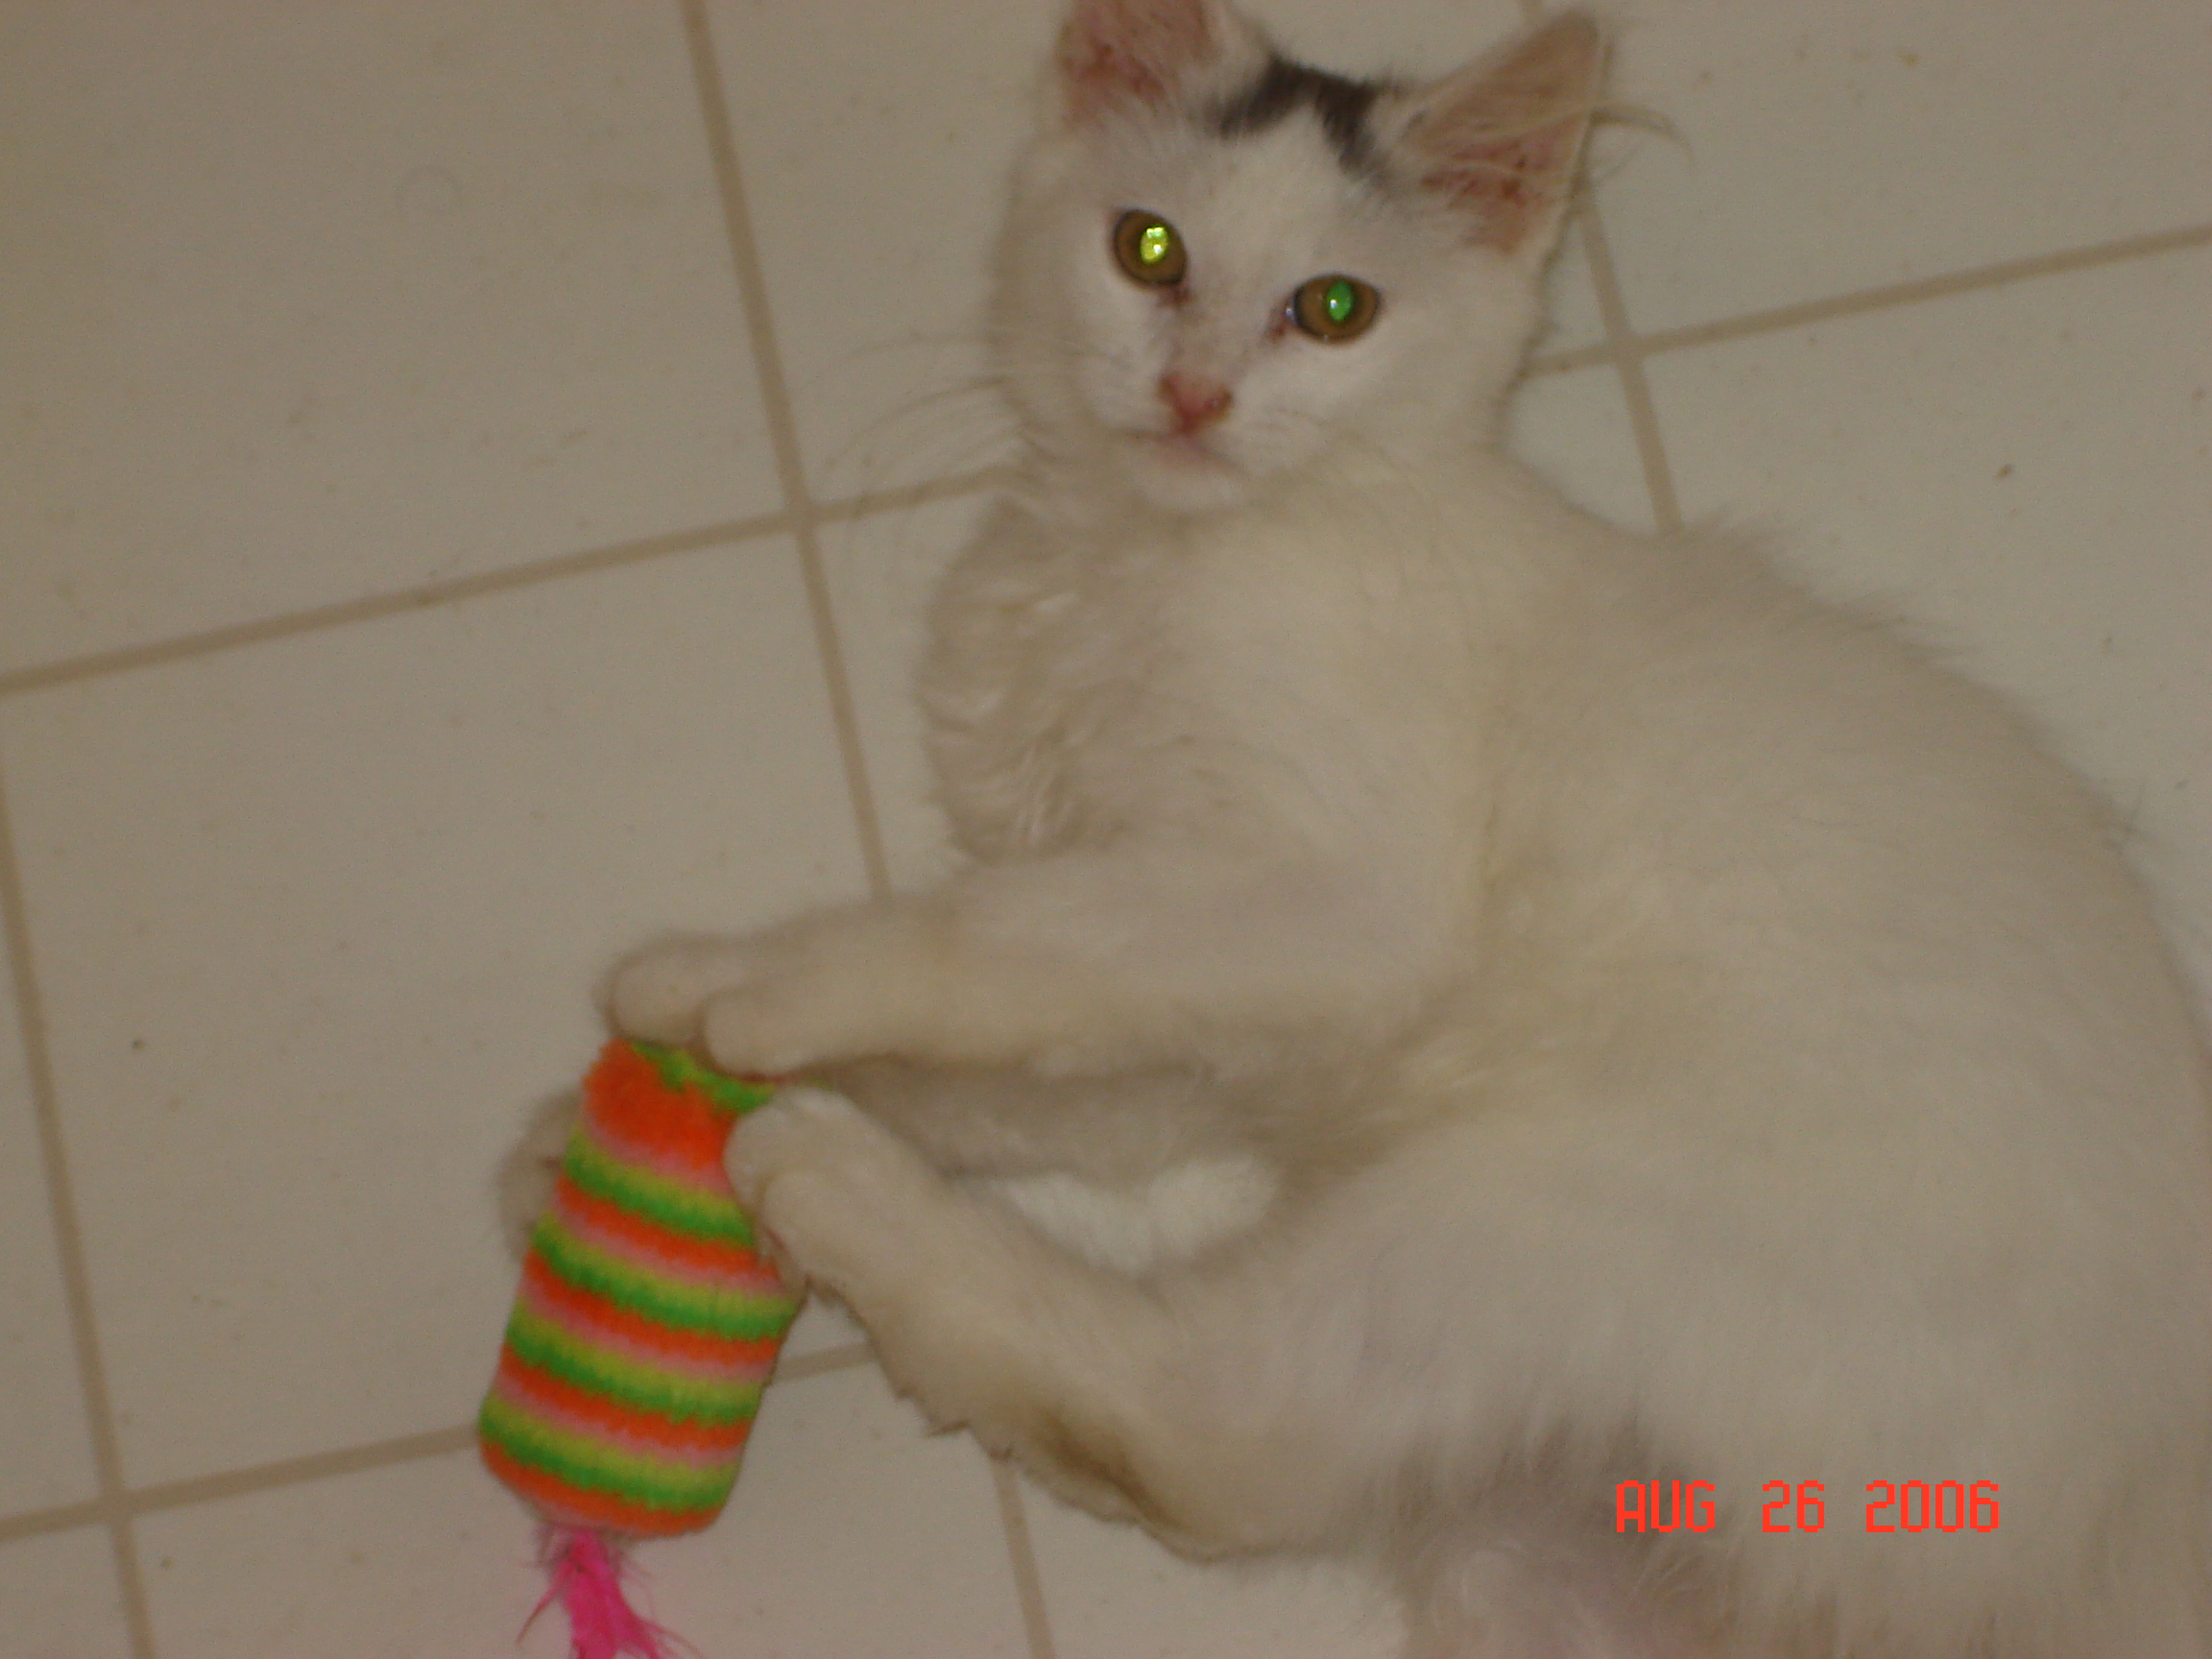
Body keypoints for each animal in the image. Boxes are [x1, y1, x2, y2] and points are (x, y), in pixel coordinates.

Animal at [592, 2, 2212, 1654]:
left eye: (1334, 310)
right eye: (1150, 250)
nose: (1195, 395)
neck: (1153, 556)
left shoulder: (1323, 900)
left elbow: (981, 944)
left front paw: (748, 989)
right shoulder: (1201, 1014)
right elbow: (1028, 1067)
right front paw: (729, 1077)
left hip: (1528, 1210)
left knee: (1204, 1434)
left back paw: (833, 1186)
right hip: (1527, 1557)